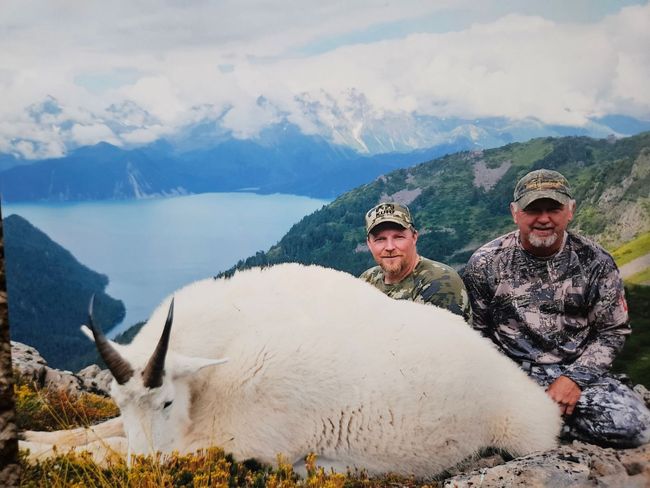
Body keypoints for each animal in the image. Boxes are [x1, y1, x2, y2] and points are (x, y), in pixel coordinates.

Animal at [23, 263, 561, 477]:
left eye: (168, 401)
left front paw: (32, 452)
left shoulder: (229, 441)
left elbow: (107, 451)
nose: (147, 465)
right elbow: (99, 431)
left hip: (524, 436)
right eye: (120, 399)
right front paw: (35, 438)